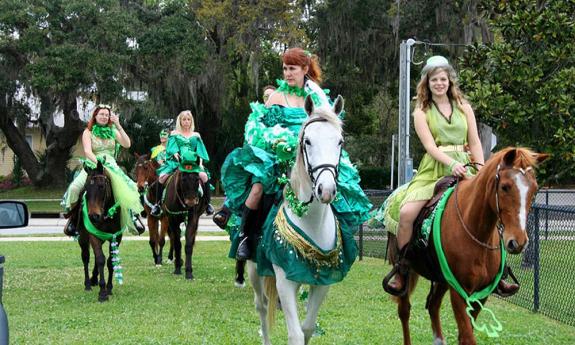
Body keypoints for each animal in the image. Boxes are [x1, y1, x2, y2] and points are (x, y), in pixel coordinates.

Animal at [77, 161, 124, 300]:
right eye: (86, 188)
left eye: (101, 186)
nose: (93, 216)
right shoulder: (93, 235)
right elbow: (100, 259)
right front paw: (102, 292)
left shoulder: (116, 237)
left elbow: (110, 261)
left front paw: (109, 288)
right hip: (83, 238)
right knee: (86, 257)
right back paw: (88, 283)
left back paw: (94, 279)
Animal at [248, 92, 346, 344]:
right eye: (307, 141)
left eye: (339, 142)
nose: (326, 190)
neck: (312, 223)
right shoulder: (284, 281)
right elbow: (295, 334)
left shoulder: (322, 283)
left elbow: (307, 328)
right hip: (254, 270)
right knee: (261, 306)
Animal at [388, 147, 548, 344]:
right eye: (505, 186)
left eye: (534, 189)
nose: (518, 242)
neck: (477, 233)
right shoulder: (459, 292)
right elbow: (467, 337)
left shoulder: (482, 293)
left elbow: (466, 333)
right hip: (406, 272)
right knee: (404, 311)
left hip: (441, 280)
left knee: (433, 305)